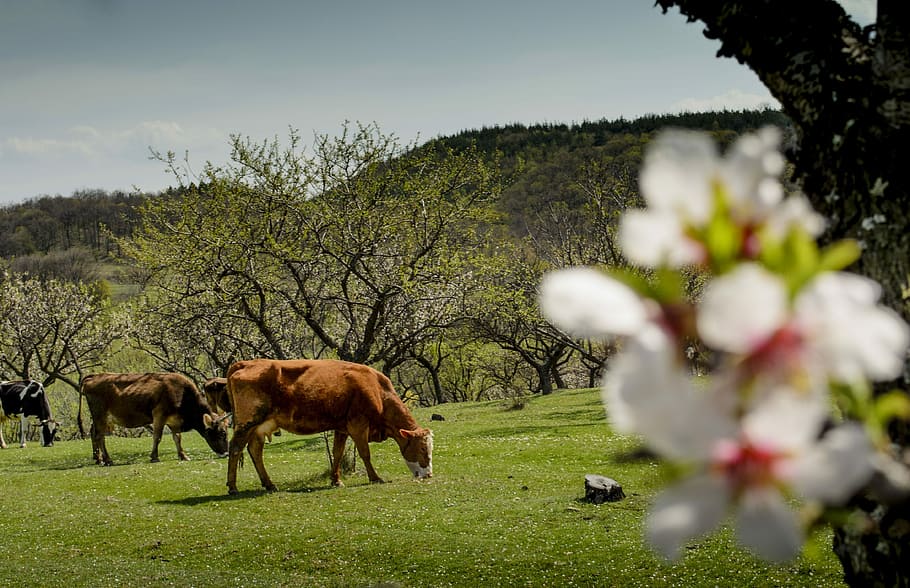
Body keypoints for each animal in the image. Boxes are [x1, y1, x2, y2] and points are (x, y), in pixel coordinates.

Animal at [80, 372, 230, 465]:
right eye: (222, 433)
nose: (226, 453)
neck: (182, 394)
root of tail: (94, 377)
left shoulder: (174, 421)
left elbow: (177, 438)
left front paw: (183, 456)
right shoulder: (159, 415)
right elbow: (157, 436)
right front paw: (154, 457)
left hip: (100, 418)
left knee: (94, 433)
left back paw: (98, 458)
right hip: (100, 415)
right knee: (99, 436)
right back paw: (107, 460)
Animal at [226, 358, 433, 494]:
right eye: (423, 448)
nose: (429, 475)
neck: (378, 390)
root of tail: (246, 363)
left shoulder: (342, 427)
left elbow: (337, 453)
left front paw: (336, 480)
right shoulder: (358, 424)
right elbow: (365, 453)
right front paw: (375, 478)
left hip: (259, 426)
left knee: (255, 450)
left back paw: (269, 484)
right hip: (247, 422)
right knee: (235, 448)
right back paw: (233, 487)